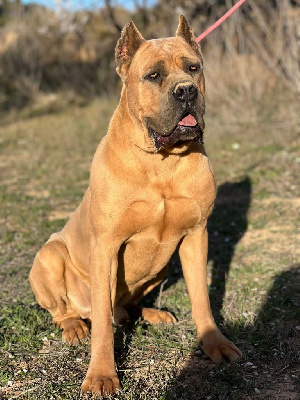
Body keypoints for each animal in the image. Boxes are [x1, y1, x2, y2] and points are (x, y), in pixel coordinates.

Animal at [29, 16, 243, 396]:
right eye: (154, 75)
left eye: (194, 68)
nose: (187, 91)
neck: (161, 162)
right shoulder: (106, 246)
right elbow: (102, 325)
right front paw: (101, 375)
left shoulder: (196, 235)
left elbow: (202, 298)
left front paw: (214, 343)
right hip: (50, 255)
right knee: (73, 311)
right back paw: (74, 326)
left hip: (159, 267)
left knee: (124, 310)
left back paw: (152, 314)